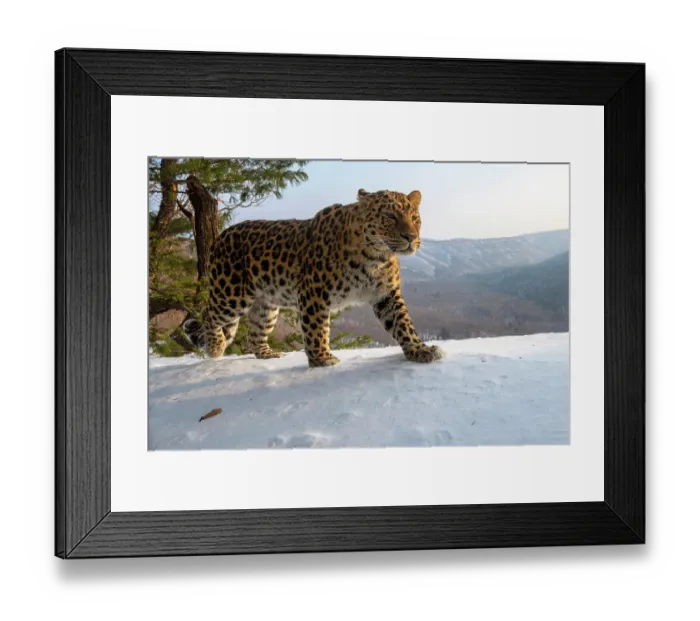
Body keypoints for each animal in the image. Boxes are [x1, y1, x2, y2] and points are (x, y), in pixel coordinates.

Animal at [182, 188, 444, 368]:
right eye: (389, 216)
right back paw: (215, 346)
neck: (375, 256)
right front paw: (322, 358)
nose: (411, 237)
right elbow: (316, 328)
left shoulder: (386, 295)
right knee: (208, 314)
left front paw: (419, 350)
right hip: (231, 293)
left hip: (266, 305)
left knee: (254, 333)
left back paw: (267, 354)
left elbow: (403, 323)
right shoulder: (314, 293)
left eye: (415, 218)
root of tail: (221, 236)